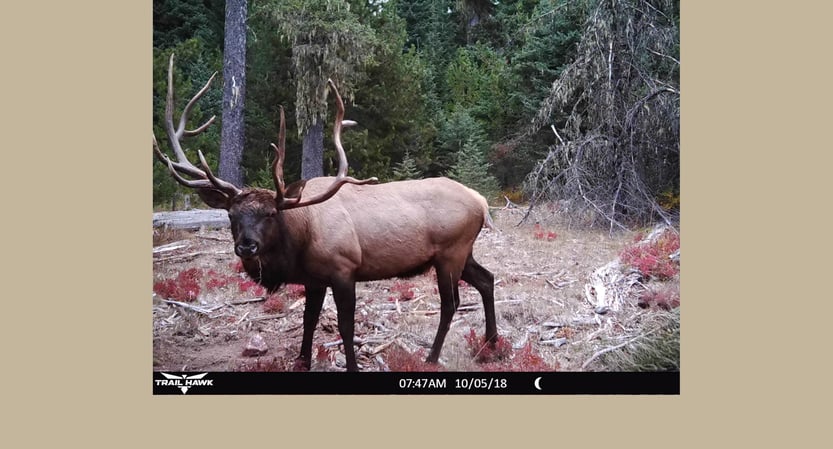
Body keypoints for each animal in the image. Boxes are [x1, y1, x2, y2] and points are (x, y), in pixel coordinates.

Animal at [153, 55, 498, 371]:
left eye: (271, 213)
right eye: (231, 215)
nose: (247, 246)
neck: (301, 240)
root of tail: (481, 201)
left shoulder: (344, 269)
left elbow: (345, 325)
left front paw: (352, 366)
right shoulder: (314, 279)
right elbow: (309, 319)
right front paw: (302, 361)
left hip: (450, 252)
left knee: (451, 303)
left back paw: (433, 356)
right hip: (461, 253)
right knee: (487, 278)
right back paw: (491, 343)